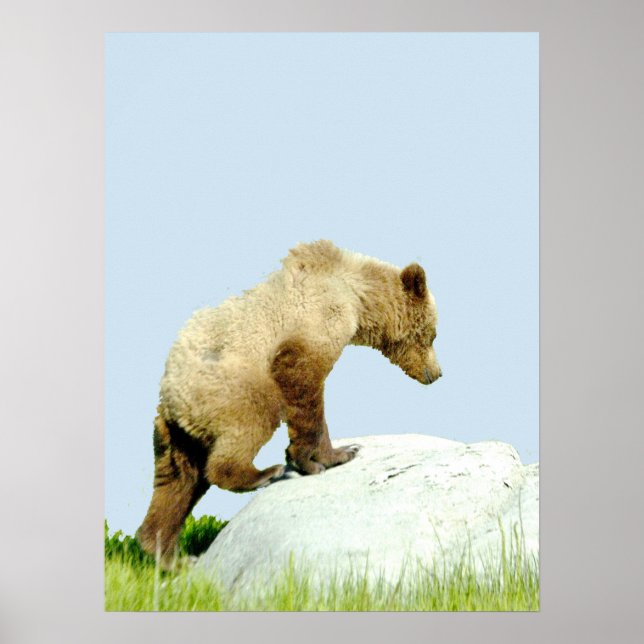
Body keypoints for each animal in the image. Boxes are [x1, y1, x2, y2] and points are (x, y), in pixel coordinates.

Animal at [136, 240, 441, 566]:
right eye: (433, 334)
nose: (437, 373)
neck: (360, 298)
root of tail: (171, 394)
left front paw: (338, 452)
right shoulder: (318, 317)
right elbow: (302, 380)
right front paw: (323, 457)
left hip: (176, 434)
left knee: (177, 482)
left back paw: (168, 553)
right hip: (230, 387)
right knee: (253, 419)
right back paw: (263, 474)